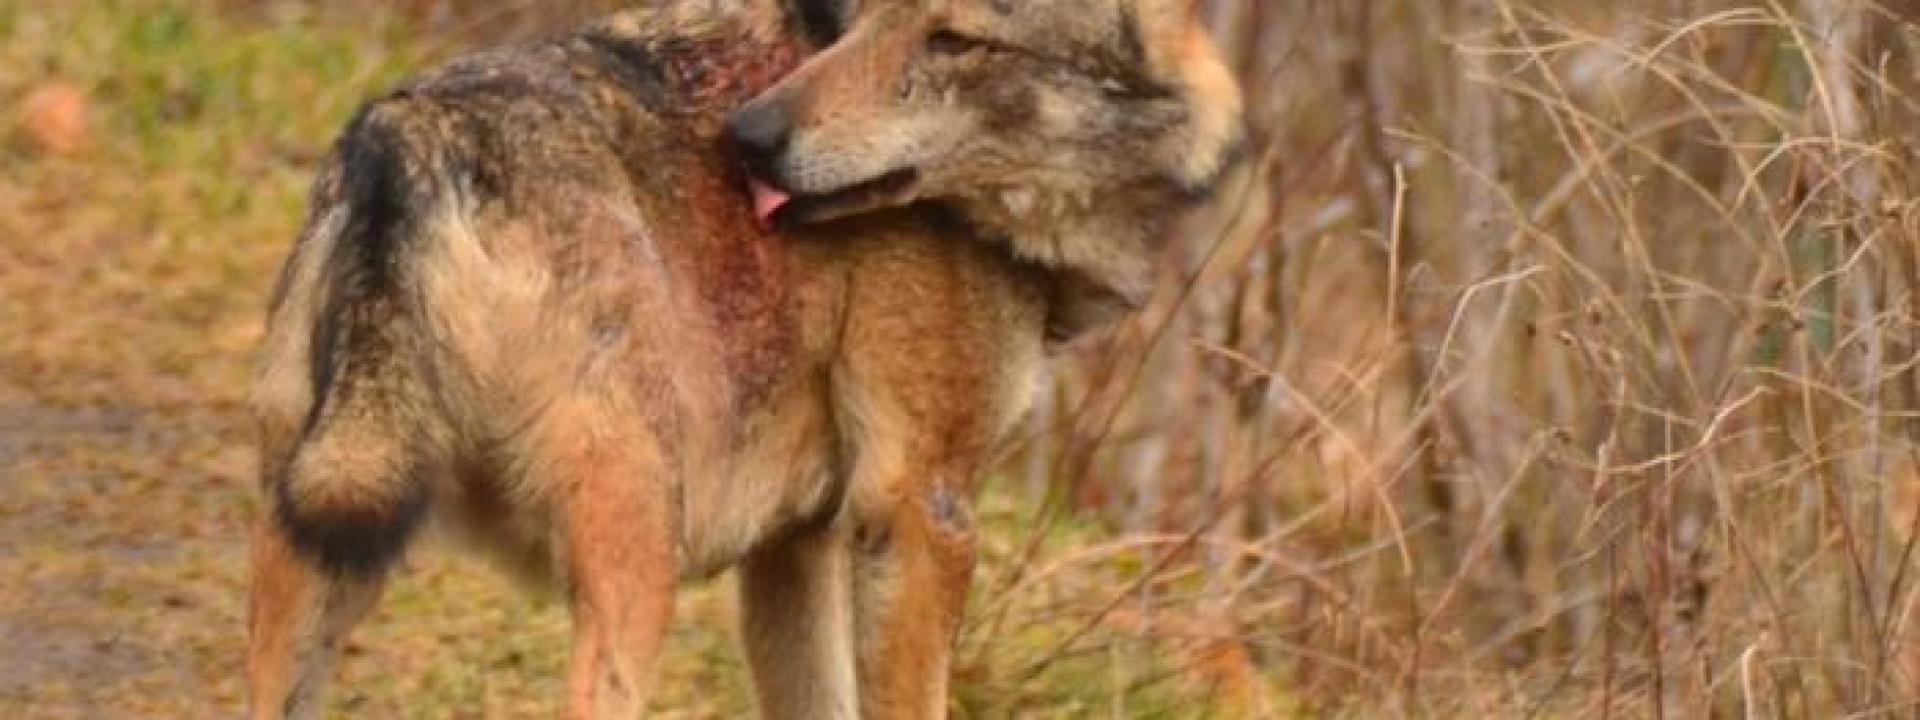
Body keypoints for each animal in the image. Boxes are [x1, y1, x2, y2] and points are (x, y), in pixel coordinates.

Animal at [247, 0, 1244, 718]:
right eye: (875, 14)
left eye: (956, 40)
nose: (750, 138)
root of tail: (408, 140)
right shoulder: (919, 509)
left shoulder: (796, 543)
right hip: (637, 571)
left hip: (318, 541)